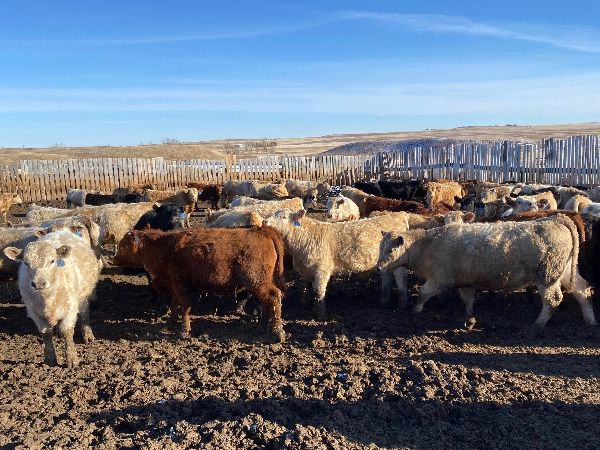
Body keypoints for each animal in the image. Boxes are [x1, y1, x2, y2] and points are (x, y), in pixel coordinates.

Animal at [4, 229, 102, 366]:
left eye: (52, 261)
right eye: (26, 263)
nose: (39, 284)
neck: (48, 298)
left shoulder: (71, 308)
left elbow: (67, 331)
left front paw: (72, 359)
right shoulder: (34, 312)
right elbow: (46, 333)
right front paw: (50, 358)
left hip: (83, 296)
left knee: (84, 312)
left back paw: (87, 334)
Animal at [114, 227, 287, 342]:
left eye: (123, 244)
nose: (114, 259)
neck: (165, 246)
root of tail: (263, 231)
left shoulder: (179, 284)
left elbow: (184, 305)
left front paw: (184, 330)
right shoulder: (175, 285)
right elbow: (175, 304)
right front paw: (170, 322)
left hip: (256, 280)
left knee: (274, 296)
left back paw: (277, 332)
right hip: (260, 283)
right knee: (266, 301)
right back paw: (262, 327)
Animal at [263, 209, 410, 319]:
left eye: (283, 217)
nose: (264, 221)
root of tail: (397, 214)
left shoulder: (321, 270)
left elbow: (318, 292)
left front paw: (319, 313)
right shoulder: (306, 270)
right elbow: (307, 286)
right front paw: (305, 302)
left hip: (397, 262)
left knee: (401, 278)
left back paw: (402, 303)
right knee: (386, 278)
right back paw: (384, 300)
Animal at [378, 214, 595, 332]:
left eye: (390, 250)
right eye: (380, 247)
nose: (379, 267)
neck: (427, 245)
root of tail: (555, 218)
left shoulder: (440, 280)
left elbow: (422, 294)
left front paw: (415, 311)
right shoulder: (465, 282)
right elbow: (468, 301)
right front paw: (469, 319)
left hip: (547, 277)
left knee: (553, 300)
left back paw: (537, 324)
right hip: (565, 272)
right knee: (582, 290)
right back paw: (590, 321)